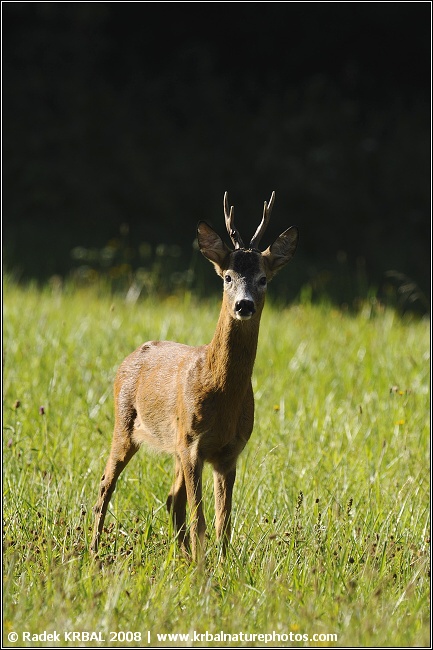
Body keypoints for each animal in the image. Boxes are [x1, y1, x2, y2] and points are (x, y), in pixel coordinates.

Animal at [90, 192, 298, 561]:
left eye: (263, 279)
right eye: (227, 277)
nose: (244, 305)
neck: (222, 393)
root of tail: (129, 358)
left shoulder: (229, 452)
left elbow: (222, 523)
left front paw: (221, 564)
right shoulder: (192, 446)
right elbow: (201, 519)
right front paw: (205, 569)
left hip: (172, 444)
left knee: (172, 499)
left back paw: (183, 557)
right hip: (125, 425)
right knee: (105, 485)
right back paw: (92, 551)